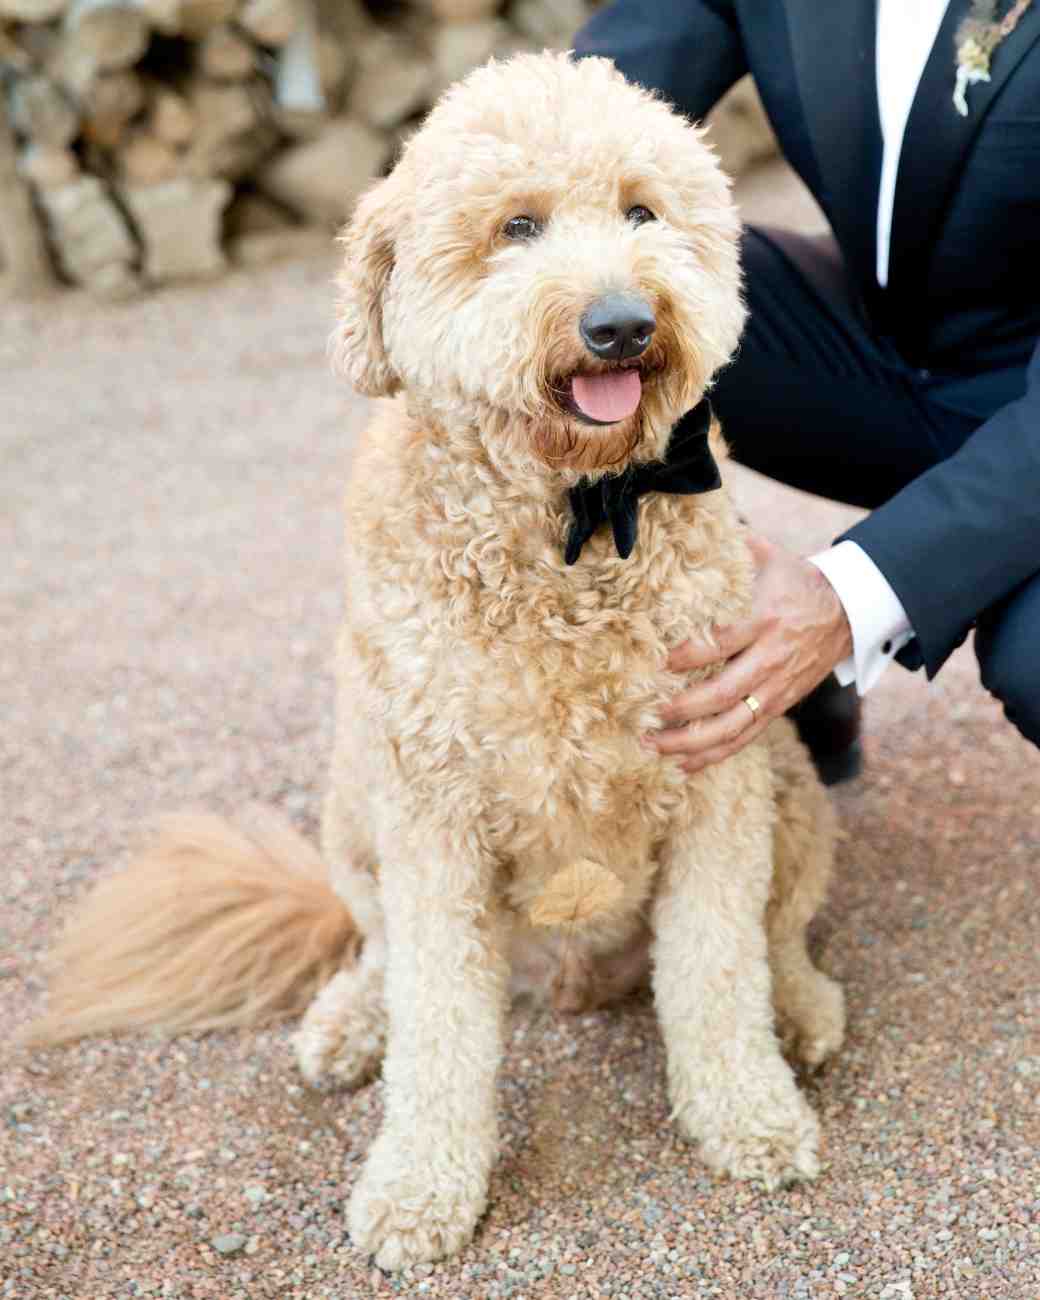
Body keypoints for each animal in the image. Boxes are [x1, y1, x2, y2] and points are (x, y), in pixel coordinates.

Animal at [26, 50, 842, 1268]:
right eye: (517, 226)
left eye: (642, 210)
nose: (619, 322)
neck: (572, 515)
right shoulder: (433, 814)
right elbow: (442, 1021)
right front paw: (420, 1188)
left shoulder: (716, 779)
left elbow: (714, 968)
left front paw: (748, 1114)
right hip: (353, 805)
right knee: (376, 950)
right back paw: (351, 1019)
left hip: (787, 779)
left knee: (776, 930)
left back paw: (800, 1007)